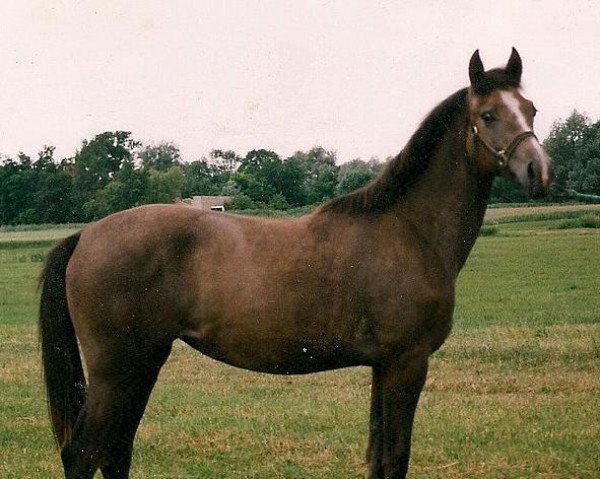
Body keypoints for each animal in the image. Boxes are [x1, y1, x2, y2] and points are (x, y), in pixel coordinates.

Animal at [37, 49, 552, 479]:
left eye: (530, 109)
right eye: (488, 115)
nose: (539, 172)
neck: (408, 230)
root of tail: (86, 236)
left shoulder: (384, 366)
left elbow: (378, 457)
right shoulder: (406, 362)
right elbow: (395, 458)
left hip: (142, 362)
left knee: (114, 451)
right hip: (116, 369)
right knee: (83, 453)